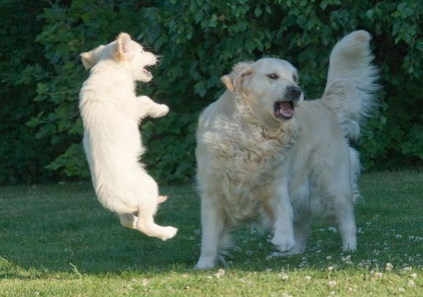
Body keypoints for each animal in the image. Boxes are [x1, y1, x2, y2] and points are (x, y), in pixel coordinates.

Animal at [80, 33, 179, 240]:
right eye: (141, 51)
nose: (157, 56)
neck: (109, 69)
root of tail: (111, 199)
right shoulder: (133, 105)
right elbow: (145, 100)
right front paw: (162, 109)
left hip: (128, 206)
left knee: (127, 221)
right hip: (148, 186)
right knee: (144, 223)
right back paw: (167, 232)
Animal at [197, 30, 380, 268]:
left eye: (295, 78)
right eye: (272, 76)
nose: (296, 91)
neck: (251, 132)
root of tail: (324, 105)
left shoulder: (277, 181)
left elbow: (284, 209)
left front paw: (283, 238)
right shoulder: (212, 190)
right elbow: (209, 236)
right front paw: (203, 265)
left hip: (333, 184)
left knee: (346, 220)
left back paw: (349, 249)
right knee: (304, 224)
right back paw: (294, 253)